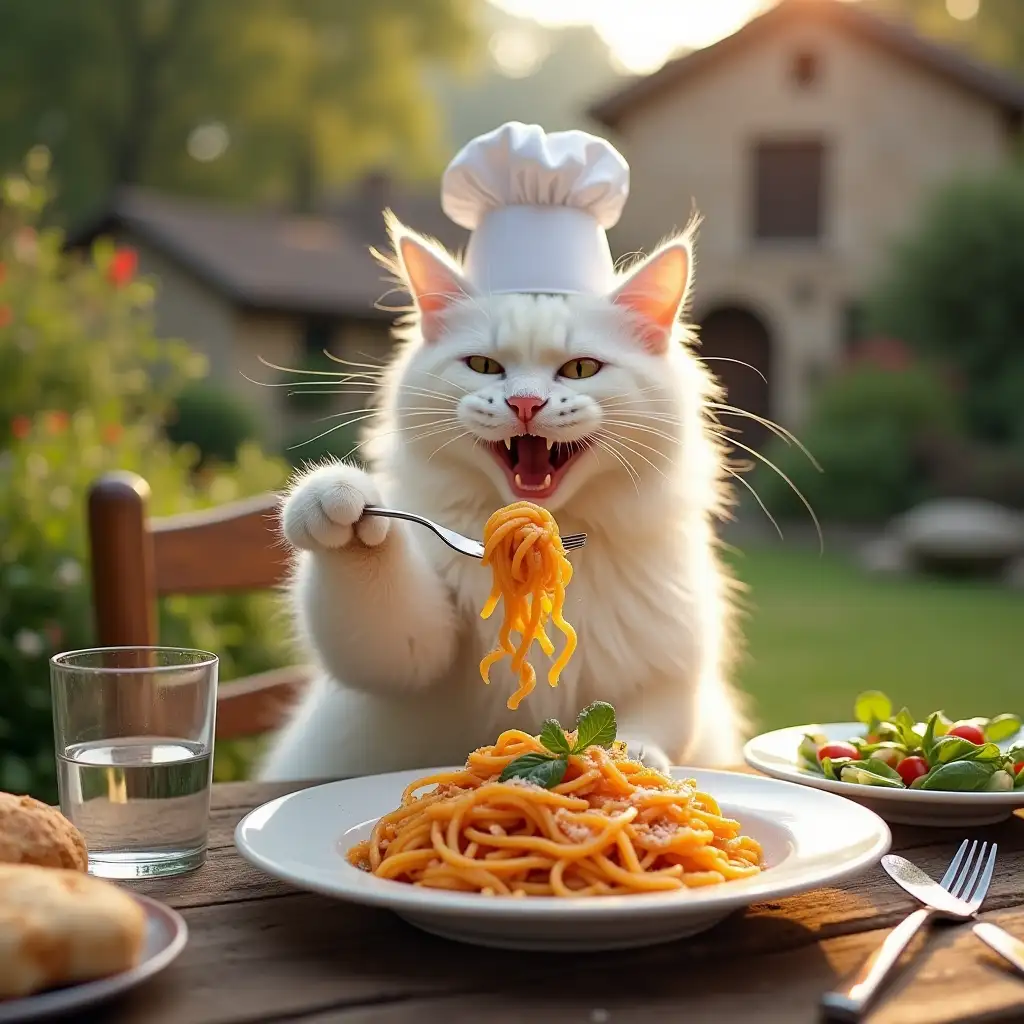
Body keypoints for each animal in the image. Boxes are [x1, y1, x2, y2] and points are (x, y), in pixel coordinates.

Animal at [258, 211, 745, 778]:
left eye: (580, 369)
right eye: (485, 366)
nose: (525, 403)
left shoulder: (672, 671)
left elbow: (650, 723)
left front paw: (634, 763)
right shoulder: (411, 656)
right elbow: (378, 600)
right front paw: (335, 500)